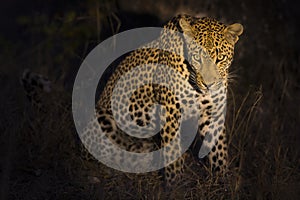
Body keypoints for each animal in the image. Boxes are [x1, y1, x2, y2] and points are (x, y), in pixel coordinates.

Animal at [22, 14, 244, 186]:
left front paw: (223, 181)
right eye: (197, 58)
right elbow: (173, 156)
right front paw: (175, 186)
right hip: (104, 119)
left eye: (220, 59)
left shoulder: (213, 111)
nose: (209, 84)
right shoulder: (171, 111)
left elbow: (218, 151)